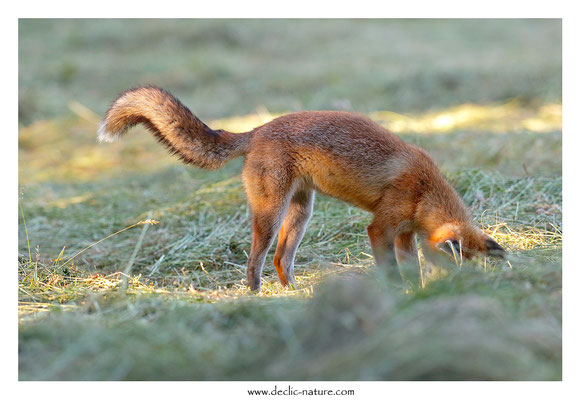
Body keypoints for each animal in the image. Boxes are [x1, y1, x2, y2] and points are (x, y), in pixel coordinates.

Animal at [98, 85, 502, 290]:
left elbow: (410, 267)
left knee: (281, 259)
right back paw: (255, 295)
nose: (467, 289)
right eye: (455, 266)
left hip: (301, 212)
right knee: (255, 260)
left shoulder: (403, 234)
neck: (424, 191)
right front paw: (399, 292)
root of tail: (257, 129)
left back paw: (292, 293)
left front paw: (415, 290)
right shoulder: (380, 227)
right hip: (271, 214)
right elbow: (390, 268)